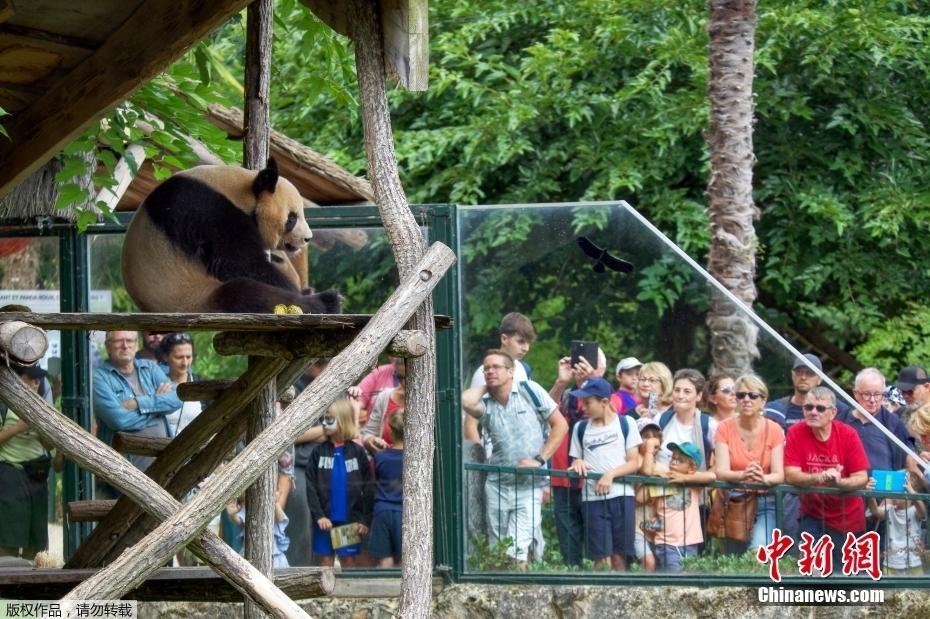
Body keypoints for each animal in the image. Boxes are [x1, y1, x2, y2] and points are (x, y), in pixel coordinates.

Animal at [121, 160, 340, 314]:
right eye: (292, 218)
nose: (307, 238)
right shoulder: (208, 210)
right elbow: (239, 262)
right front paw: (297, 290)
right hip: (188, 296)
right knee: (246, 294)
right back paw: (326, 302)